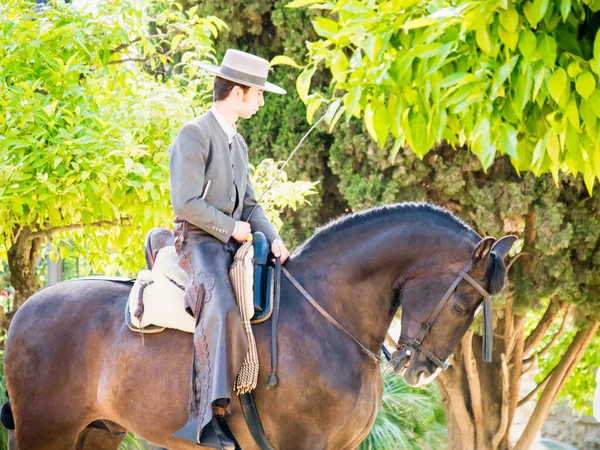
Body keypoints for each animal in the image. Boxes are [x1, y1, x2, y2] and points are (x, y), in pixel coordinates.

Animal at [1, 202, 516, 448]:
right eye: (461, 304)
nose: (421, 371)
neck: (325, 316)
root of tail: (25, 308)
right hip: (47, 432)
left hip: (98, 432)